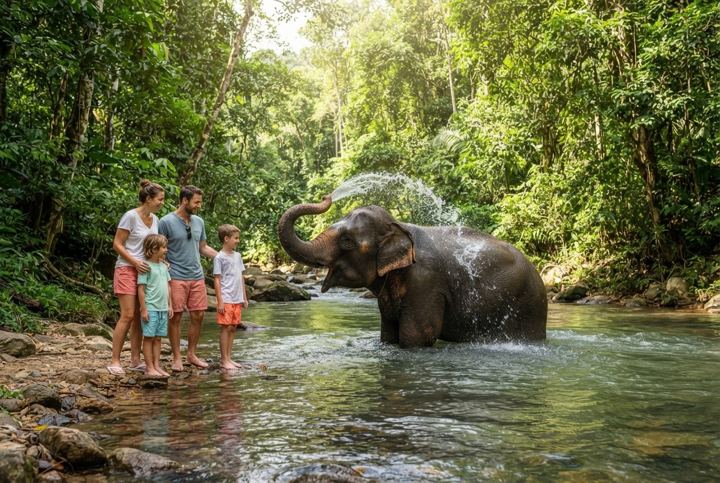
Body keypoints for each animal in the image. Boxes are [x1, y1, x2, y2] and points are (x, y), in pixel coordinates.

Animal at [278, 196, 547, 347]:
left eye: (346, 241)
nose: (327, 196)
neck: (399, 225)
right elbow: (388, 336)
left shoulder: (426, 283)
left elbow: (416, 338)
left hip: (528, 307)